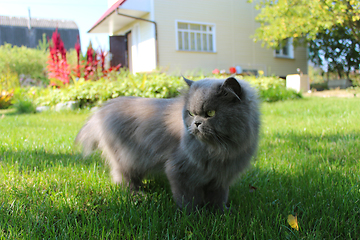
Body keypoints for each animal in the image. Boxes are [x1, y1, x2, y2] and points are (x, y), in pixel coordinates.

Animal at [76, 76, 260, 210]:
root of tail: (101, 110)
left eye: (210, 113)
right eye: (191, 113)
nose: (196, 123)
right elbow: (188, 199)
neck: (219, 150)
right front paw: (194, 215)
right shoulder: (180, 171)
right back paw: (139, 196)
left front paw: (221, 212)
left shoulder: (220, 178)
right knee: (124, 179)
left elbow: (218, 198)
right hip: (127, 158)